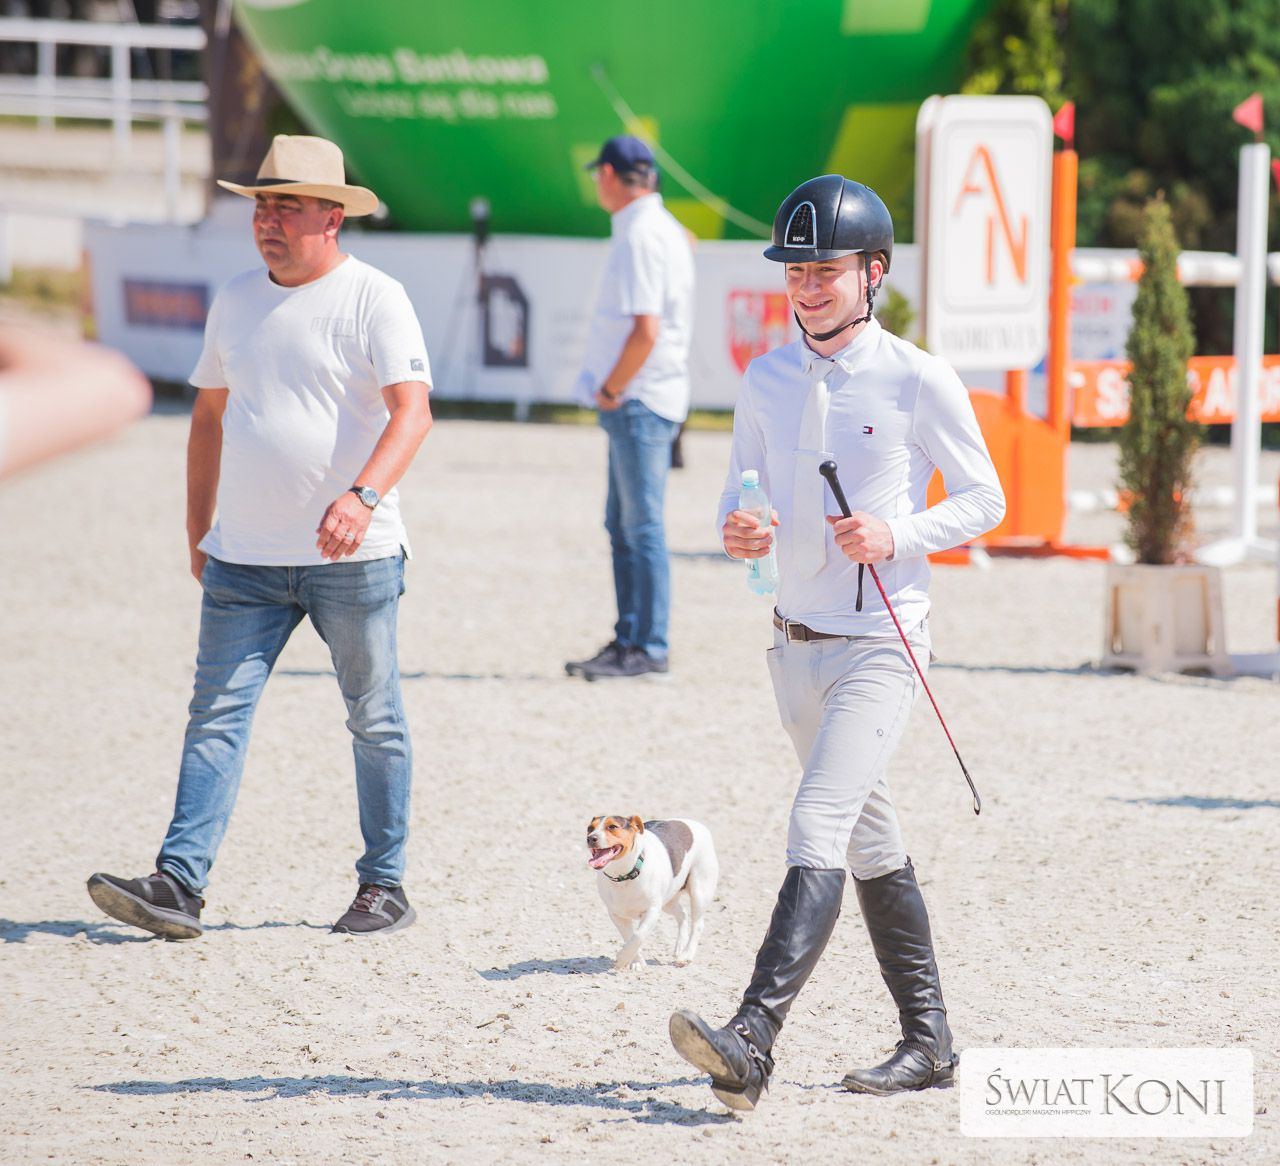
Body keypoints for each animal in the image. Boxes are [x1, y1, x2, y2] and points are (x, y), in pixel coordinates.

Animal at [586, 814, 719, 971]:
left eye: (612, 827)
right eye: (590, 828)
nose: (590, 838)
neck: (624, 876)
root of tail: (697, 824)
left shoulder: (652, 911)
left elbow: (638, 935)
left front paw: (622, 959)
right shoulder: (617, 916)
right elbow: (629, 937)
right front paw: (636, 962)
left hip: (699, 892)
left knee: (697, 925)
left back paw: (686, 956)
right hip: (668, 901)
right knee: (683, 914)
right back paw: (680, 946)